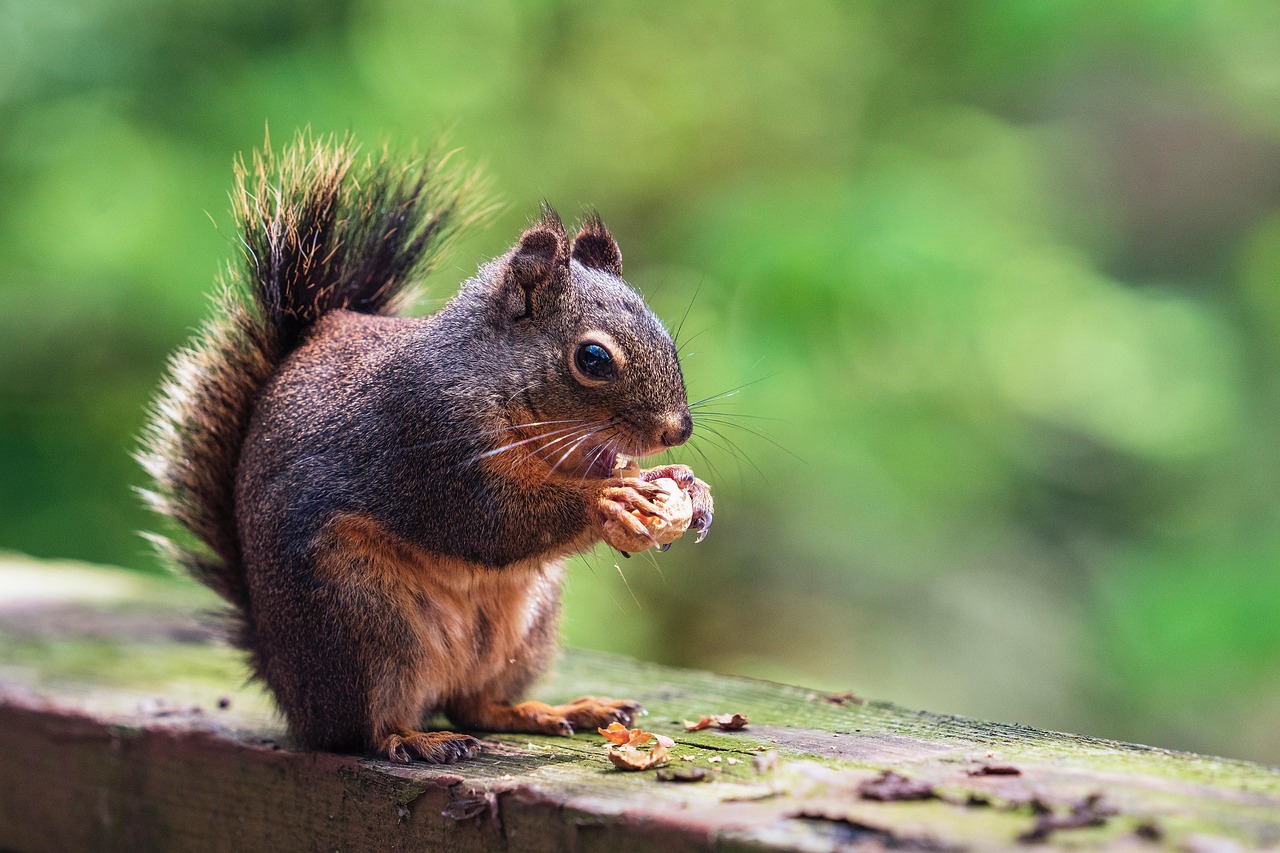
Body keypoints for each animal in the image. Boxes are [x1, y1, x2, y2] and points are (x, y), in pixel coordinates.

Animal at [138, 135, 713, 764]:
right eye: (592, 359)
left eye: (667, 336)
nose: (677, 430)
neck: (494, 380)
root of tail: (285, 683)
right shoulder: (426, 441)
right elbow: (491, 519)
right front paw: (608, 498)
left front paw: (685, 484)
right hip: (362, 622)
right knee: (364, 729)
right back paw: (417, 739)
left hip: (525, 627)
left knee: (477, 705)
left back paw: (557, 710)